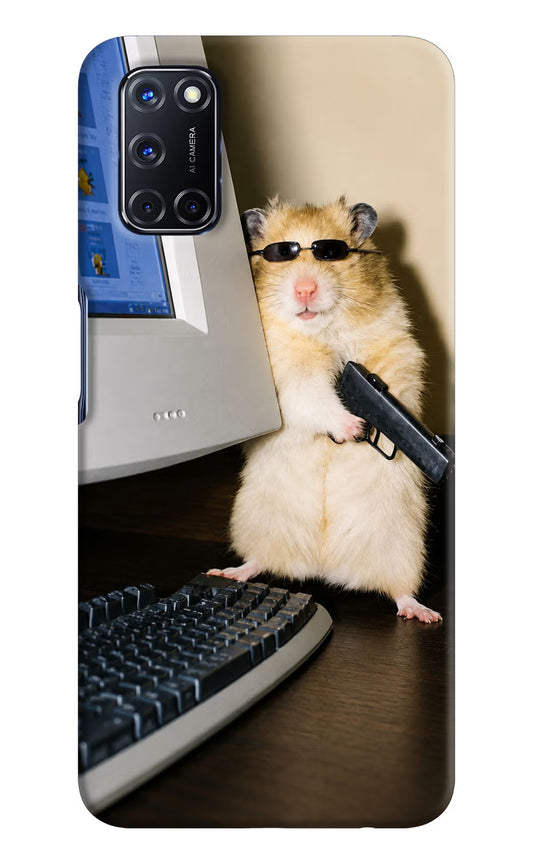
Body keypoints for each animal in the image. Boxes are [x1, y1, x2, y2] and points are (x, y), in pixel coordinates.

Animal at [208, 197, 442, 623]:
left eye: (331, 253)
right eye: (281, 254)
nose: (304, 289)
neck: (321, 330)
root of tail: (324, 567)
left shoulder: (398, 349)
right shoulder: (288, 378)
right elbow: (314, 398)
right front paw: (353, 428)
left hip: (403, 546)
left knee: (400, 590)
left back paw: (423, 613)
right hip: (257, 522)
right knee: (259, 561)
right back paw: (228, 572)